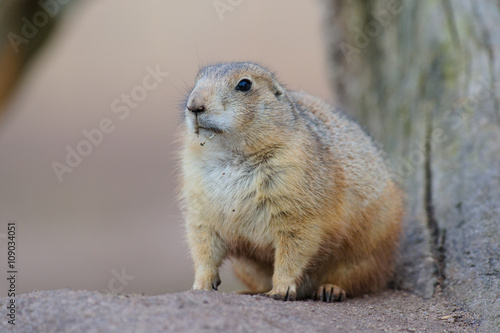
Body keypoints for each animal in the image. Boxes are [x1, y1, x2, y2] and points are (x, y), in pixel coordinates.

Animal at [179, 61, 402, 300]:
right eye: (197, 80)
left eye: (244, 85)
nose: (194, 106)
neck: (231, 156)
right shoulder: (199, 204)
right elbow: (203, 244)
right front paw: (200, 285)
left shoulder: (296, 202)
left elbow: (293, 248)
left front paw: (281, 289)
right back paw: (246, 291)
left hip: (364, 254)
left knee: (356, 281)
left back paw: (330, 290)